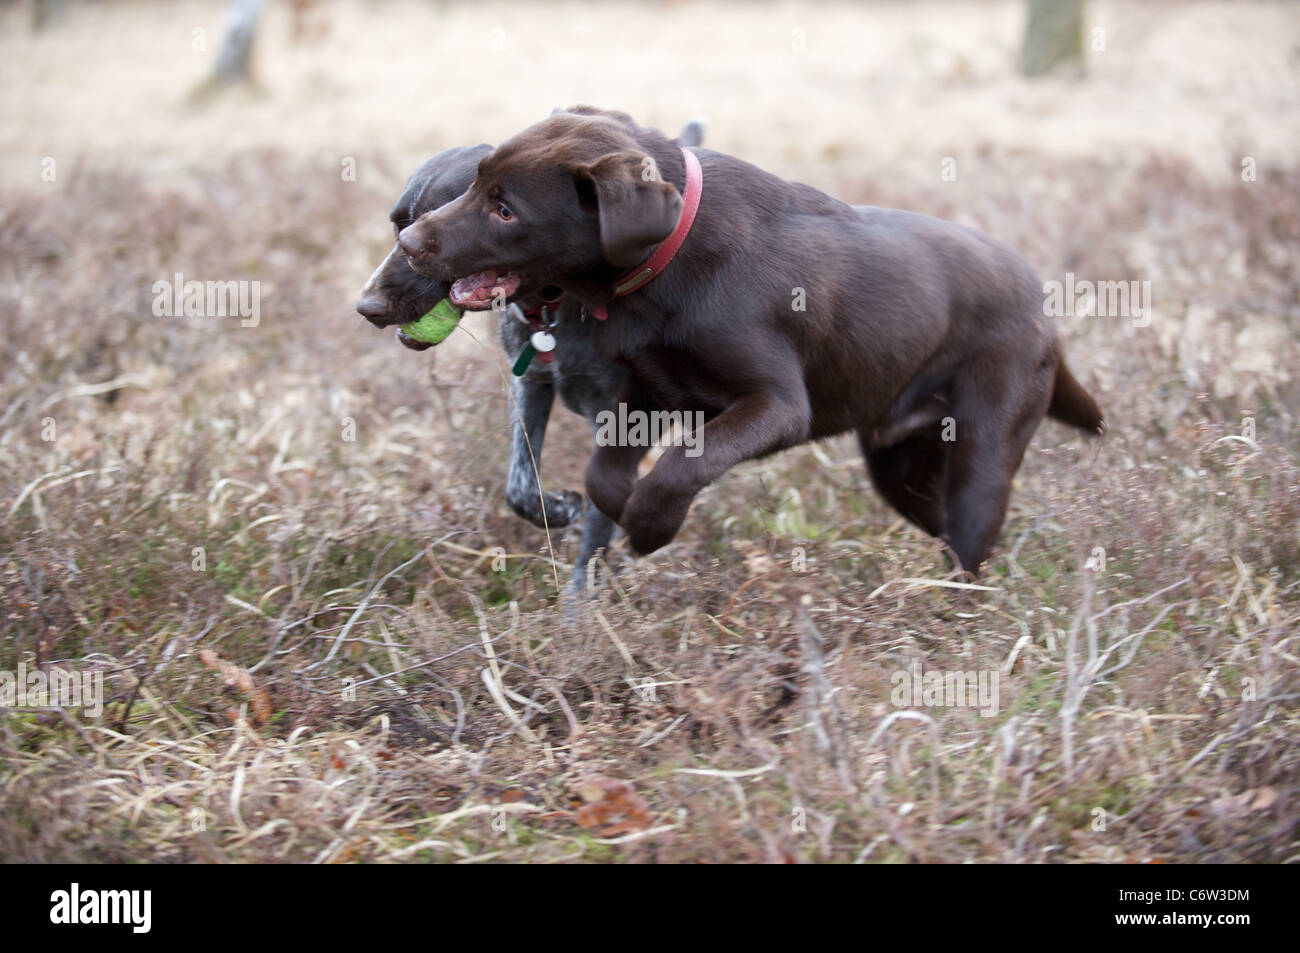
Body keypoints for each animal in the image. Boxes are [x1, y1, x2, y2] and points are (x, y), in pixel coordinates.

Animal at [353, 119, 702, 587]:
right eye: (397, 227)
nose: (367, 308)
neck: (555, 306)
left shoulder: (619, 416)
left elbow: (600, 508)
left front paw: (584, 596)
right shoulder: (530, 385)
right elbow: (520, 487)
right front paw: (561, 509)